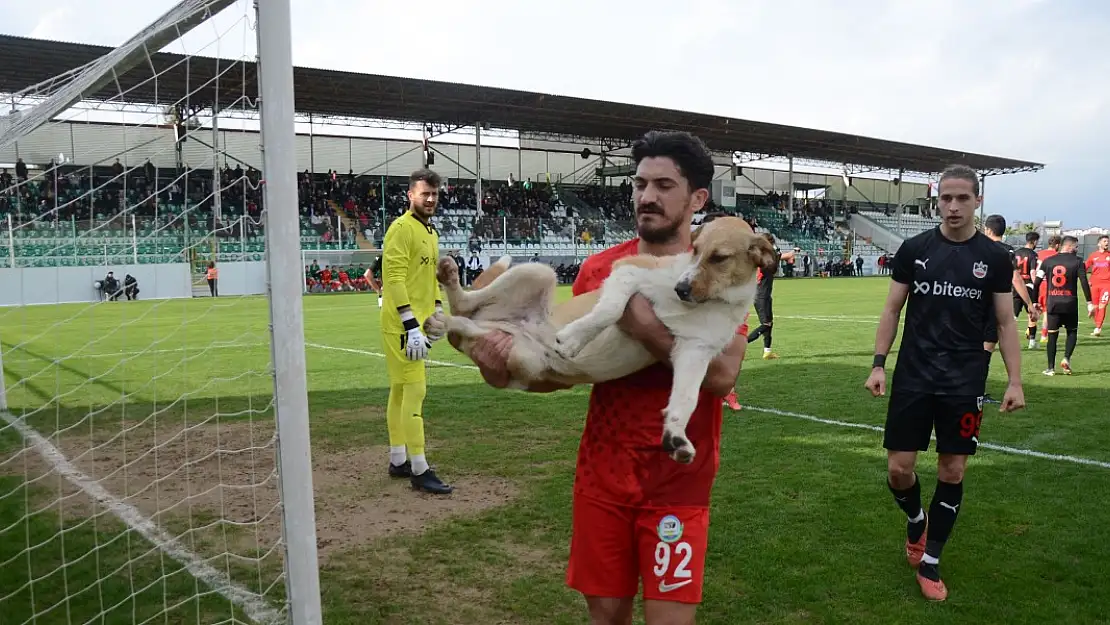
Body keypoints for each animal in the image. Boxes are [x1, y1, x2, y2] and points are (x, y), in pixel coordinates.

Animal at [419, 217, 777, 461]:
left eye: (719, 258)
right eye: (695, 251)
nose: (681, 288)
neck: (706, 302)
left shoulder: (694, 352)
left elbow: (685, 399)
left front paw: (675, 436)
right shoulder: (628, 271)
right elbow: (609, 310)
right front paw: (573, 339)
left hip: (520, 355)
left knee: (465, 322)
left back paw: (441, 323)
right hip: (537, 271)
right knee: (466, 302)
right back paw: (450, 279)